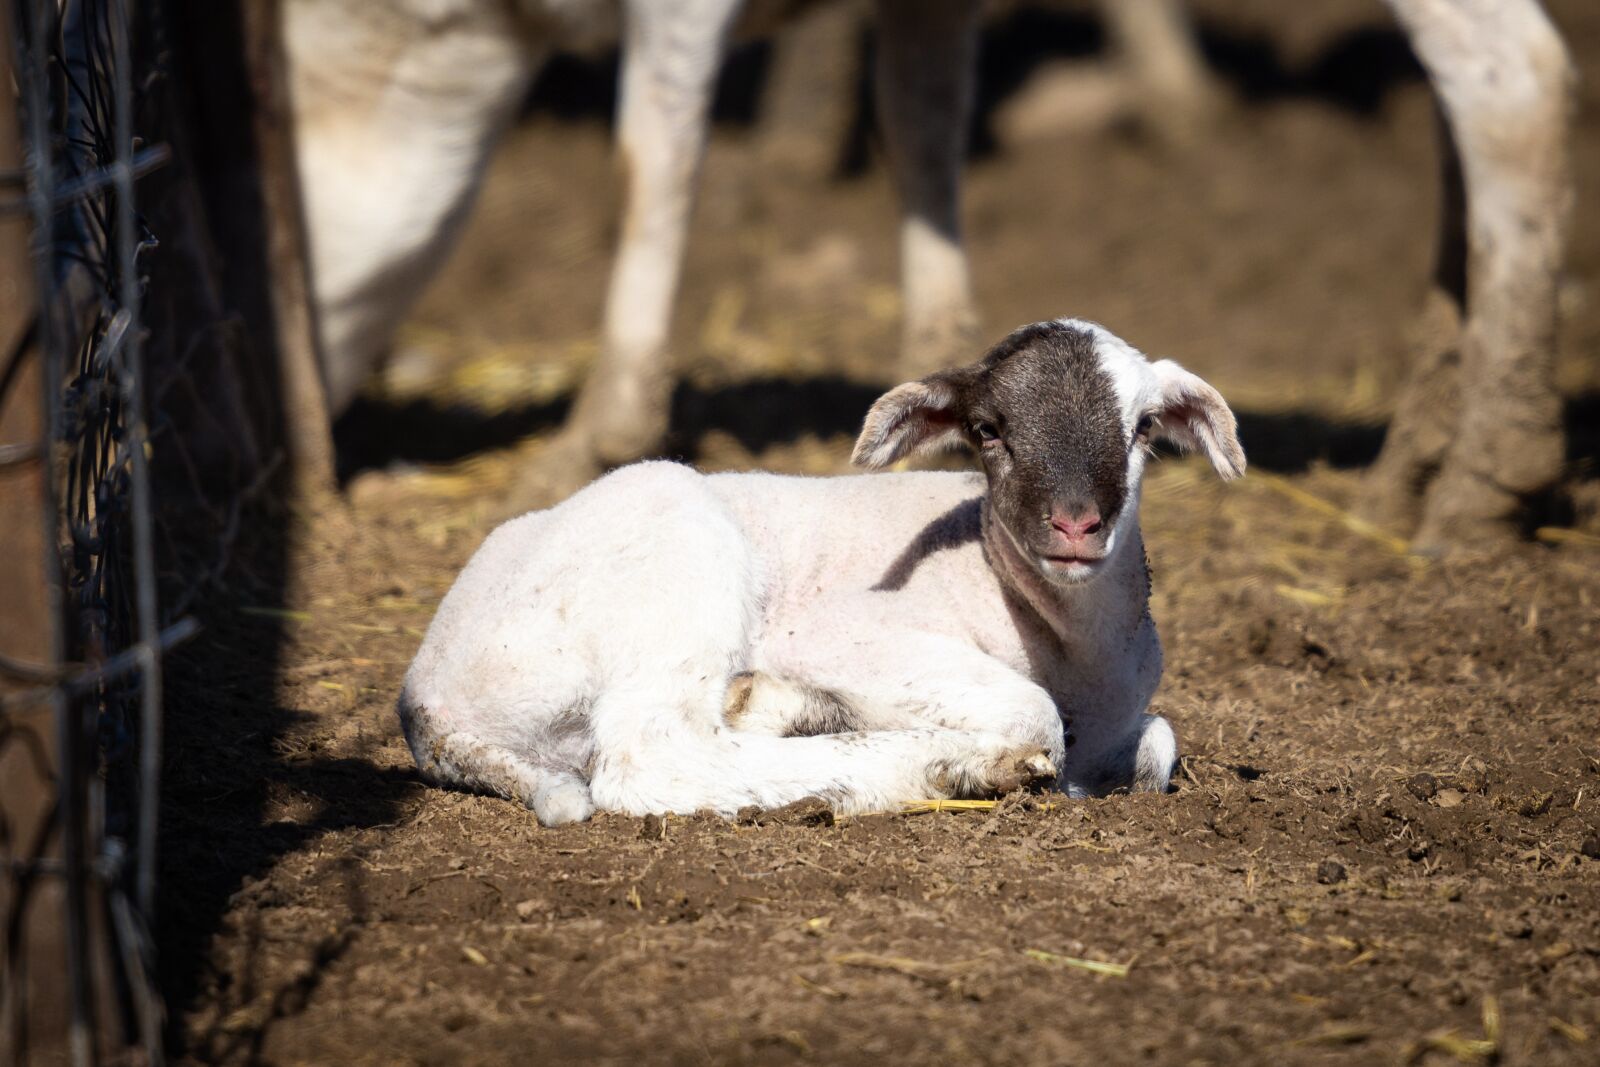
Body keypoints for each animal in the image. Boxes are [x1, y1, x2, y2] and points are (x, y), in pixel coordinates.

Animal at [397, 318, 1246, 824]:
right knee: (654, 756)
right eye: (987, 430)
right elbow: (1035, 712)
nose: (1075, 523)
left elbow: (1158, 744)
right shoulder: (837, 631)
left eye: (1142, 428)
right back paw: (950, 767)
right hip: (673, 551)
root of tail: (425, 701)